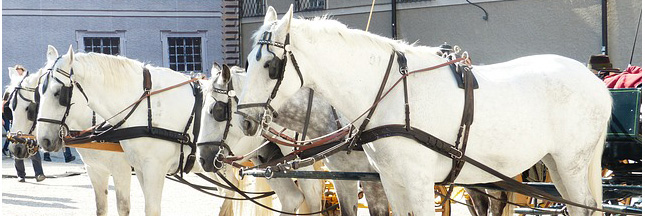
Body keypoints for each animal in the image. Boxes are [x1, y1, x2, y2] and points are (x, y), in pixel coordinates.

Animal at [6, 50, 131, 216]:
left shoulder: (122, 170)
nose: (16, 147)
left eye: (29, 109)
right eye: (10, 108)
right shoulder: (96, 169)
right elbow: (101, 207)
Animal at [34, 46, 204, 216]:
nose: (44, 140)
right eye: (38, 94)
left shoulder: (140, 168)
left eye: (58, 93)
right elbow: (101, 208)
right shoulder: (98, 169)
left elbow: (126, 207)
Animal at [235, 5, 608, 215]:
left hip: (571, 164)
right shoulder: (391, 180)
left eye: (271, 65)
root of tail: (596, 81)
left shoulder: (419, 182)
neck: (390, 96)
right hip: (555, 163)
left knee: (584, 206)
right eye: (248, 62)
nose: (245, 121)